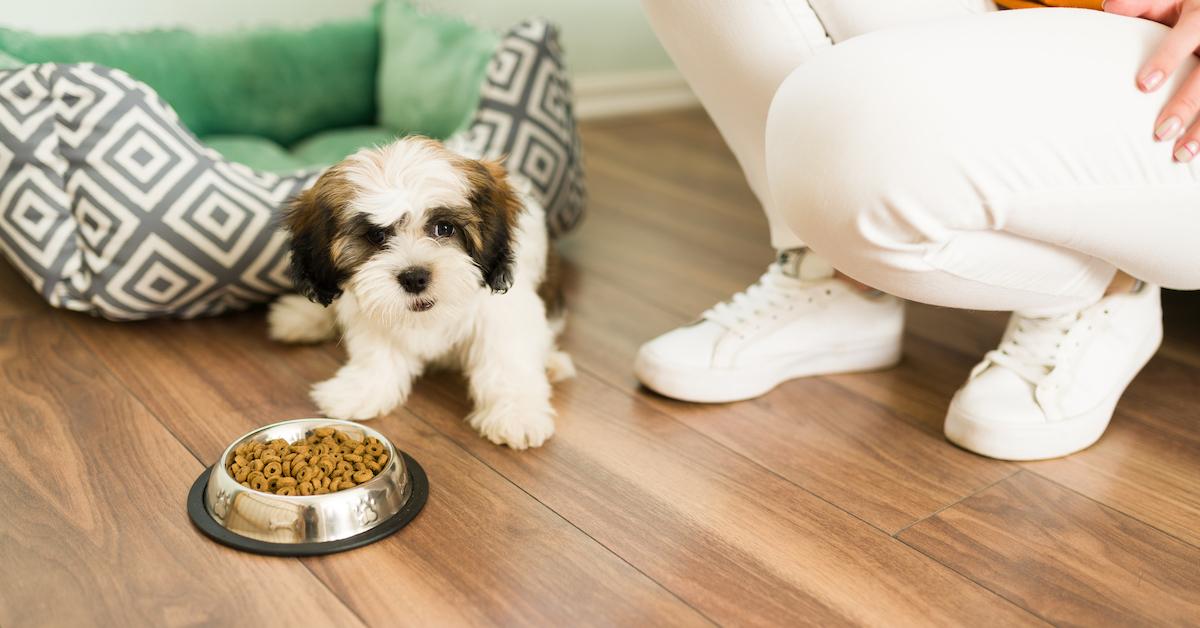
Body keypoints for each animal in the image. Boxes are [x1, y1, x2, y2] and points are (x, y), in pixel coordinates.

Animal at [268, 138, 576, 451]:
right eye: (377, 236)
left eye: (444, 228)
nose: (414, 277)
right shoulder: (372, 306)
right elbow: (376, 352)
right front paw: (362, 390)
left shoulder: (503, 312)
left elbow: (506, 359)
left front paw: (516, 414)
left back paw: (553, 363)